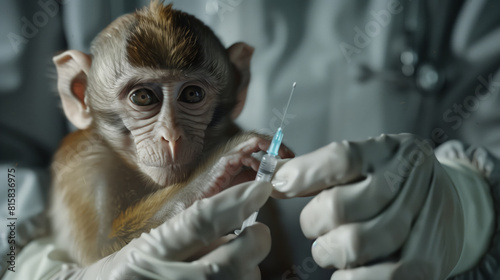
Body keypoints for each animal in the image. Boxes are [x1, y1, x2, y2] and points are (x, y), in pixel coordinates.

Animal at [48, 1, 292, 266]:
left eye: (192, 94)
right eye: (142, 97)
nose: (172, 136)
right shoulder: (85, 164)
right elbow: (100, 251)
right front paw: (217, 167)